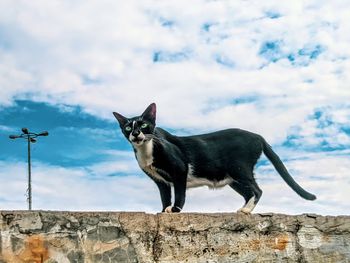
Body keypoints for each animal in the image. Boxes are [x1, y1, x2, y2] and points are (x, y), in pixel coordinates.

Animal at [113, 103, 316, 214]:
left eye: (143, 125)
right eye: (128, 128)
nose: (136, 134)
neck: (146, 150)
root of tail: (258, 136)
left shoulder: (179, 170)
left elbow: (179, 193)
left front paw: (175, 210)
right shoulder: (159, 180)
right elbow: (165, 197)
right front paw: (164, 211)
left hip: (239, 168)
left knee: (257, 190)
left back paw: (246, 210)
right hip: (233, 177)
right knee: (249, 192)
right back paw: (243, 210)